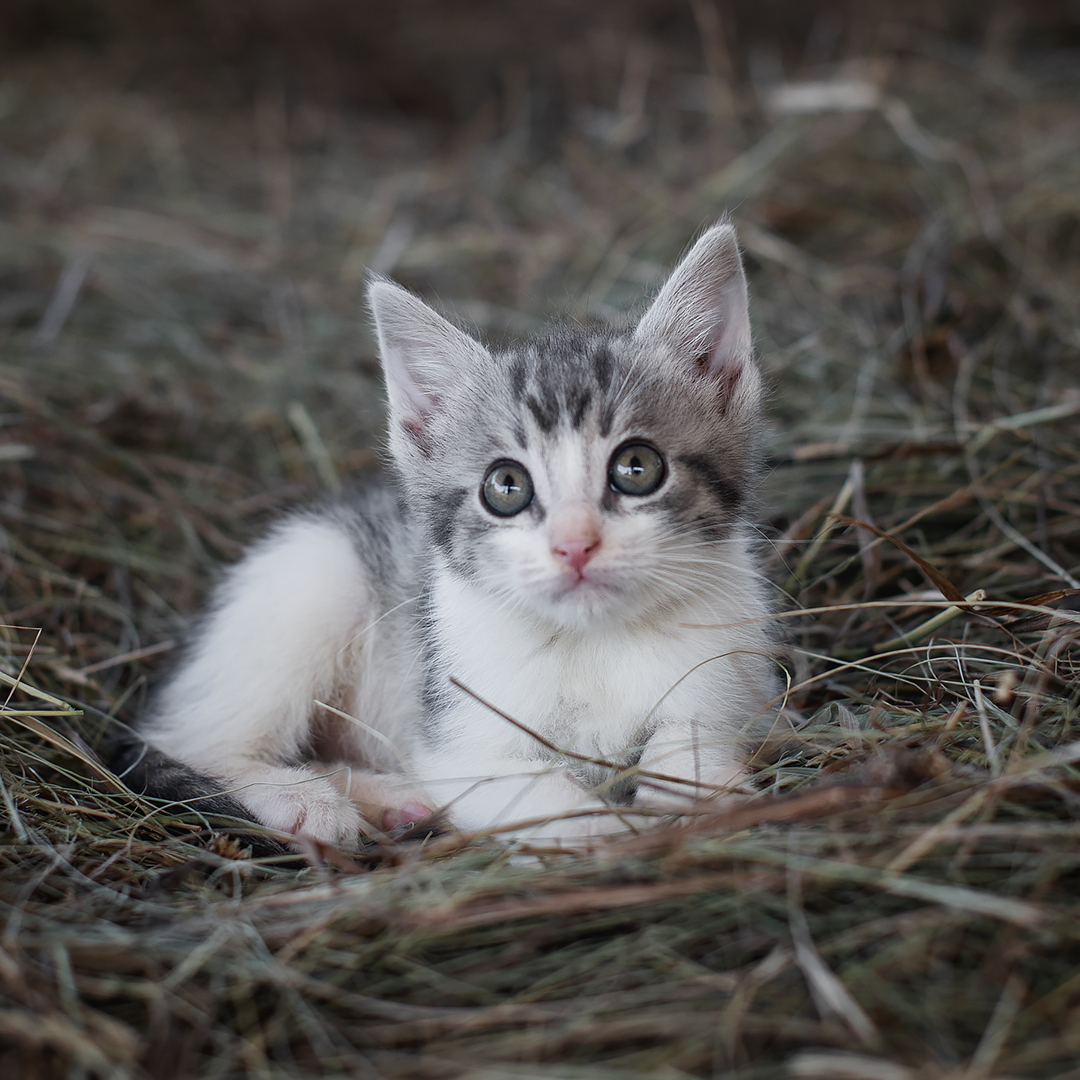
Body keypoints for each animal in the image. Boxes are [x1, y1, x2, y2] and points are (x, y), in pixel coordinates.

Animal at [135, 225, 781, 851]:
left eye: (637, 467)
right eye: (506, 486)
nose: (574, 546)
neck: (592, 640)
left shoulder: (731, 673)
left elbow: (695, 740)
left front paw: (690, 795)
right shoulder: (454, 737)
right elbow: (541, 792)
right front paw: (612, 833)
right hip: (313, 581)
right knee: (191, 744)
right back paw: (305, 800)